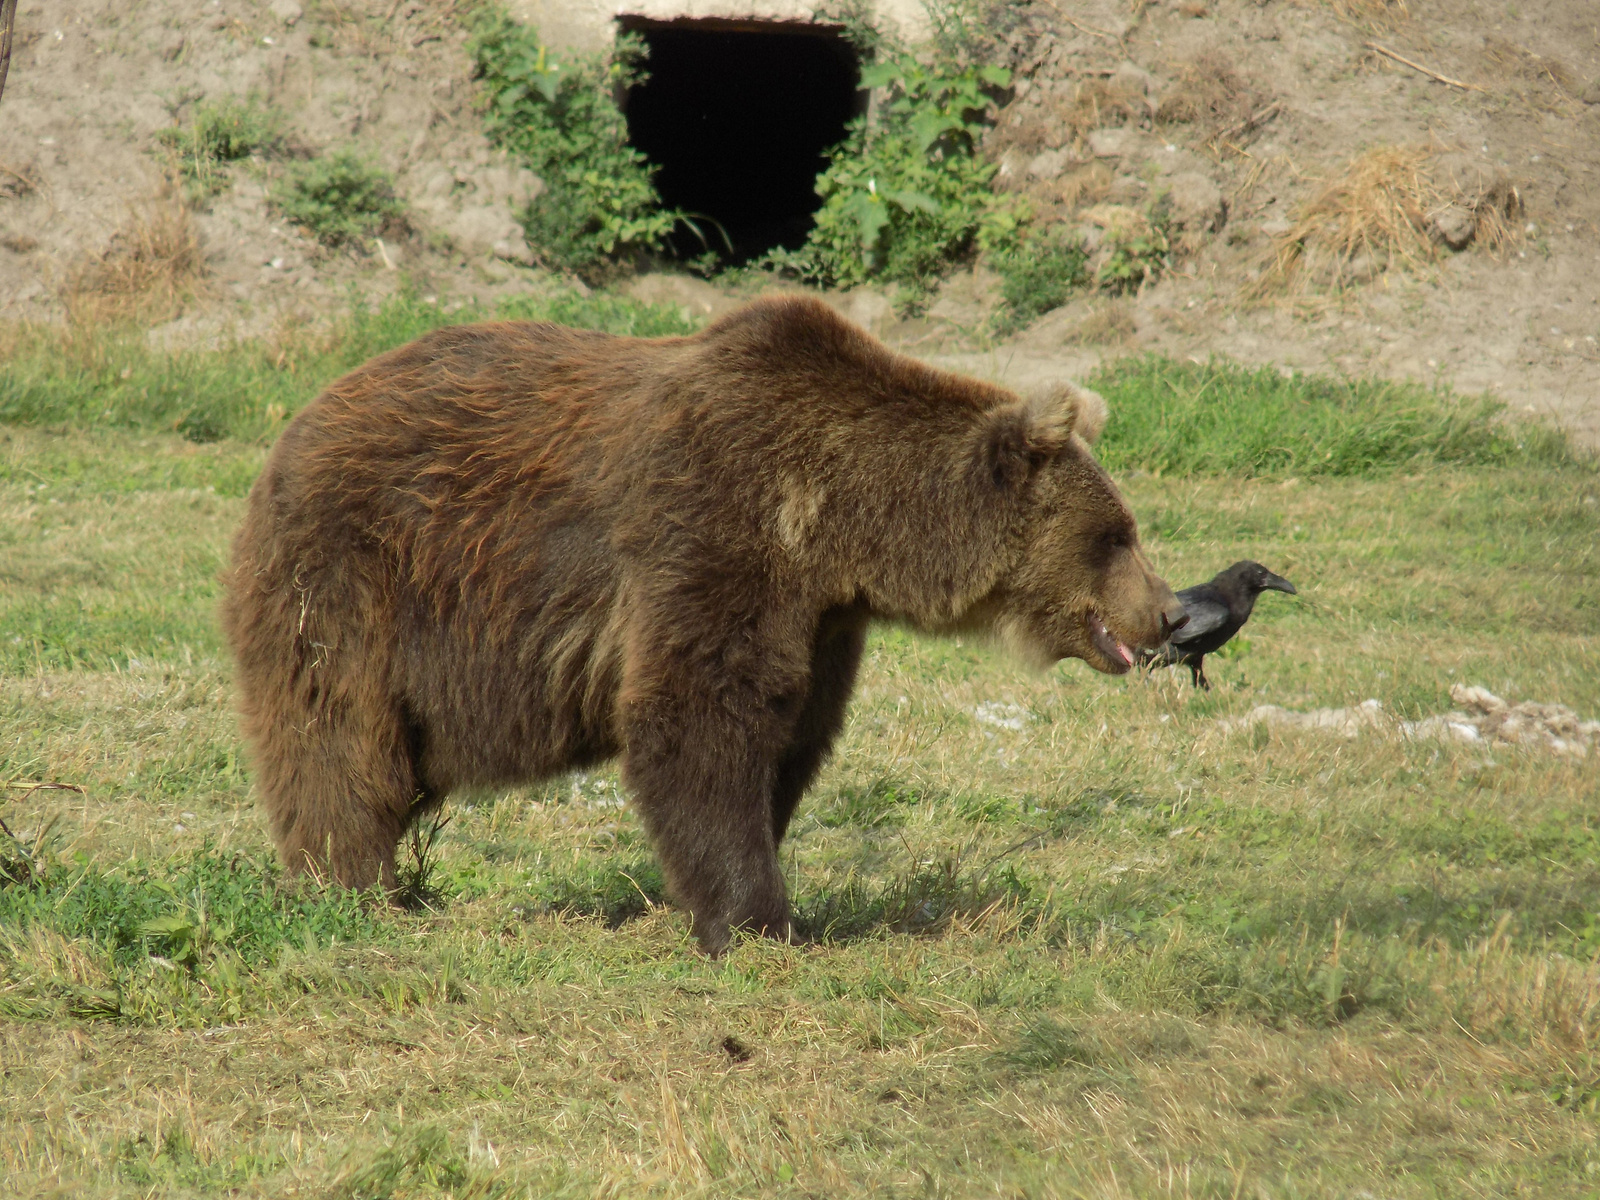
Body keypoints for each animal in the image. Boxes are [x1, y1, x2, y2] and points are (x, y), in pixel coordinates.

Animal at [219, 296, 1184, 953]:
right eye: (1116, 534)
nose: (1170, 610)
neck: (838, 520)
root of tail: (292, 429)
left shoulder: (821, 618)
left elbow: (788, 735)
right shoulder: (715, 529)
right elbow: (696, 718)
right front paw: (758, 919)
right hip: (352, 581)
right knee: (336, 740)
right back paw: (351, 887)